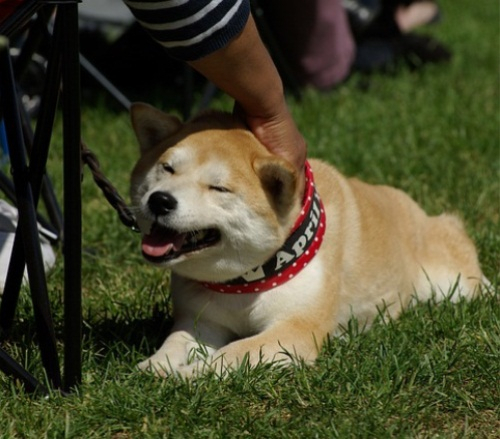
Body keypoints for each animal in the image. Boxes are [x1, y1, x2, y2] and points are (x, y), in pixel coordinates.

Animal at [129, 102, 488, 378]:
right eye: (167, 168)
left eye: (219, 188)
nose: (160, 200)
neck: (247, 281)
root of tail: (420, 210)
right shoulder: (202, 319)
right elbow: (176, 342)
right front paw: (156, 366)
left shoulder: (294, 329)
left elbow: (234, 352)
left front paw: (191, 373)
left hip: (453, 281)